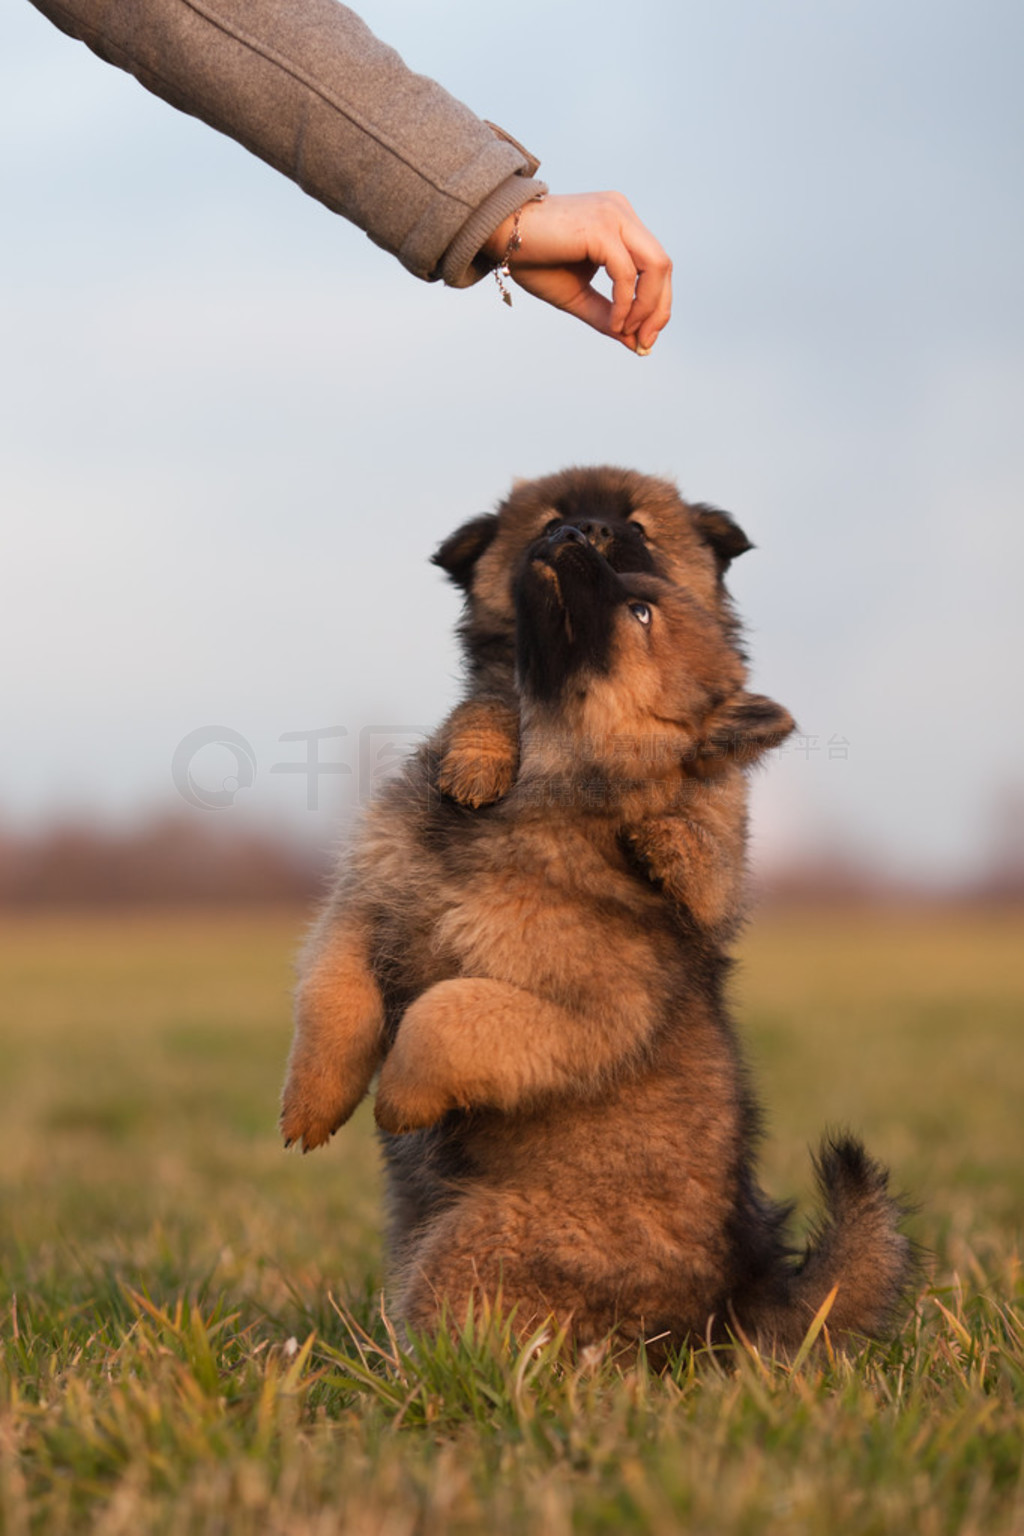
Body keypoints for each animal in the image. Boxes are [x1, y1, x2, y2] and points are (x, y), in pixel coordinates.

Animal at [280, 528, 914, 1357]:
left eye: (641, 611)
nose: (567, 532)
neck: (533, 783)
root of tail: (735, 1301)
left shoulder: (578, 1015)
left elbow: (445, 1011)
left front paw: (401, 1097)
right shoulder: (363, 910)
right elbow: (333, 1001)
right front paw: (312, 1106)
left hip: (472, 1243)